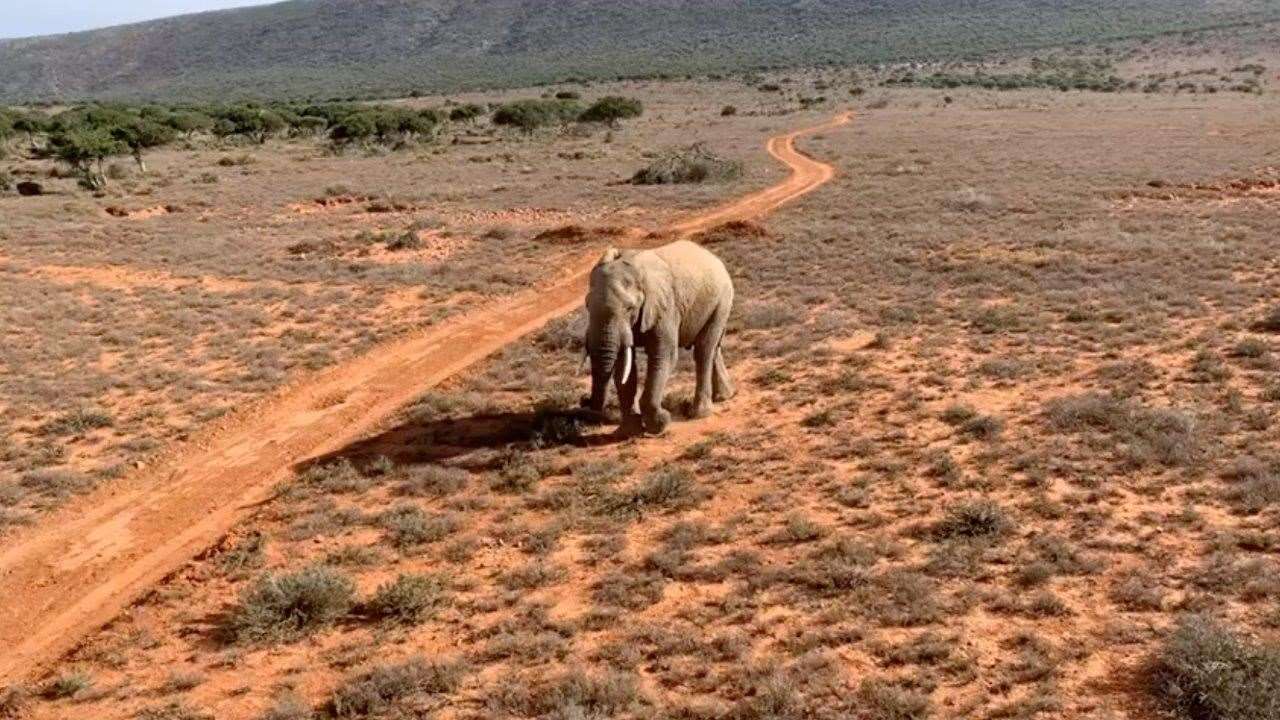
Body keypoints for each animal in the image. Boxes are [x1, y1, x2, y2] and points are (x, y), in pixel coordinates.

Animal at [583, 238, 737, 435]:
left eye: (629, 308)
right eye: (588, 306)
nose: (584, 401)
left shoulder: (664, 306)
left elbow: (664, 355)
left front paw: (660, 423)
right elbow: (624, 366)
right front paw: (628, 431)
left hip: (722, 300)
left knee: (704, 350)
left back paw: (699, 413)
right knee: (714, 347)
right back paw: (724, 397)